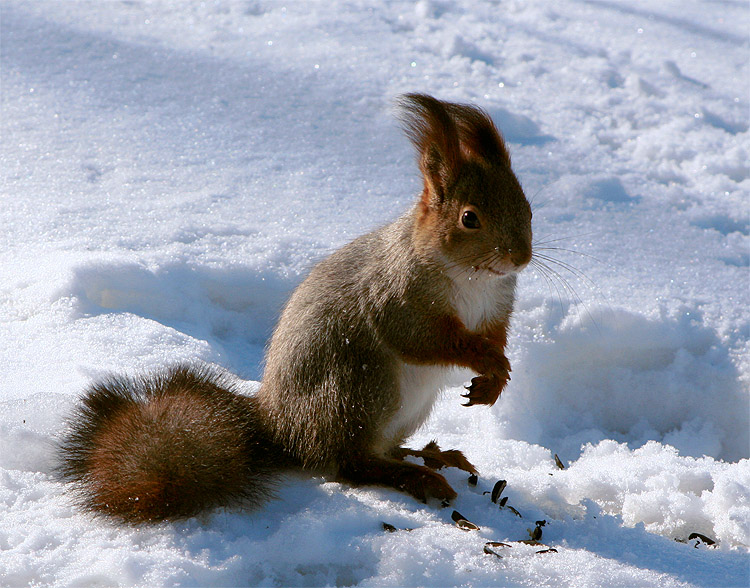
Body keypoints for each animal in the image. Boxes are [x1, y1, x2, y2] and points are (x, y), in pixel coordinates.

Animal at [55, 92, 532, 524]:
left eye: (527, 206)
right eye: (469, 218)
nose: (521, 259)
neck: (472, 278)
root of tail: (281, 428)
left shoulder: (497, 306)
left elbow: (494, 335)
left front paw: (494, 380)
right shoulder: (399, 297)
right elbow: (425, 340)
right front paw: (487, 362)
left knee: (376, 450)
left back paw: (433, 456)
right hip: (359, 386)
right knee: (350, 462)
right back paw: (417, 476)